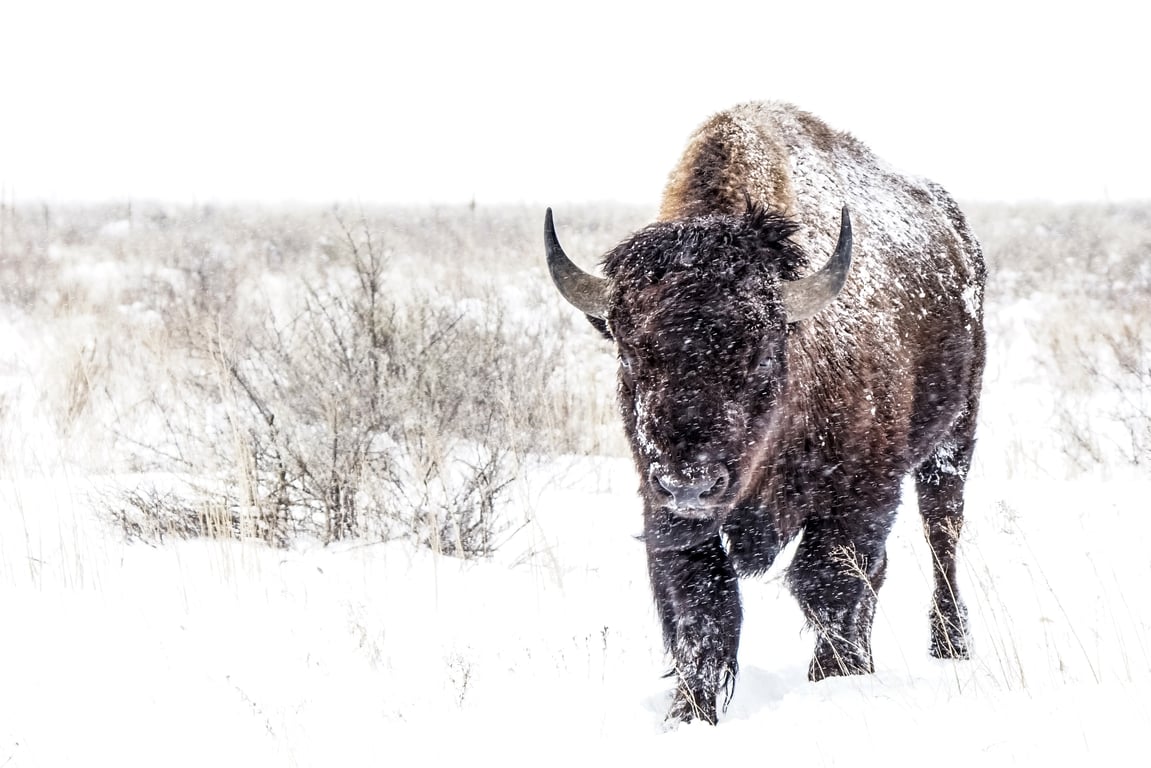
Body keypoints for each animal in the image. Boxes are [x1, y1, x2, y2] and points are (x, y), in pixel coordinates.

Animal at [543, 99, 985, 723]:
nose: (690, 481)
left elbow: (829, 584)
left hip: (954, 437)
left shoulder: (862, 494)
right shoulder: (665, 510)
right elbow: (705, 603)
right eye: (629, 352)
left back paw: (949, 644)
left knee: (941, 531)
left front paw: (833, 677)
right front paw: (690, 712)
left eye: (760, 351)